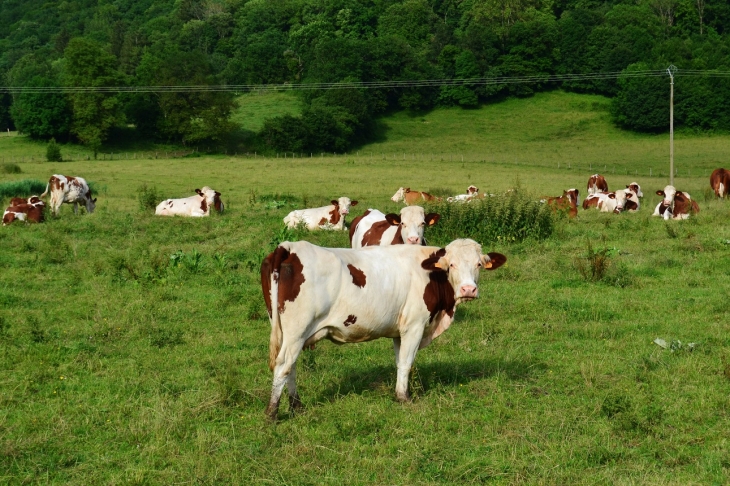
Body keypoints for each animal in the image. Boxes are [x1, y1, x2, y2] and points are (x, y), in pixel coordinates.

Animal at [262, 238, 506, 418]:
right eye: (451, 264)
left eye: (478, 264)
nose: (468, 289)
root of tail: (290, 247)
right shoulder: (414, 326)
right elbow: (407, 362)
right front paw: (404, 398)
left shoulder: (399, 331)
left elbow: (399, 362)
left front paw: (399, 392)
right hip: (297, 330)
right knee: (283, 365)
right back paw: (273, 413)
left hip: (290, 333)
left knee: (291, 367)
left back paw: (296, 405)